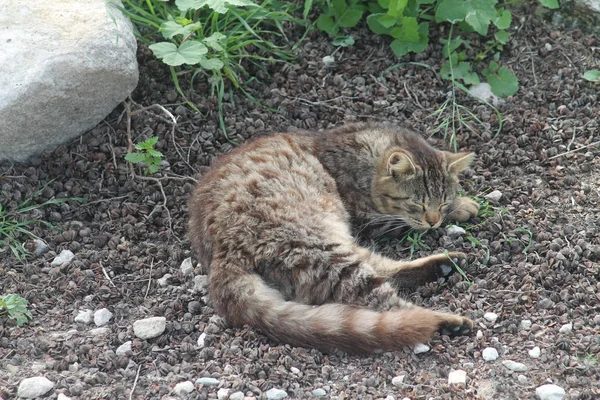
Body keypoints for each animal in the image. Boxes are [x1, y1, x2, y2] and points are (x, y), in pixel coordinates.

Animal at [190, 122, 480, 354]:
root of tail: (223, 253)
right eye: (417, 203)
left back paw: (446, 264)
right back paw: (446, 320)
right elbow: (404, 224)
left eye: (442, 201)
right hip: (321, 248)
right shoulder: (367, 218)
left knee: (384, 269)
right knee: (386, 302)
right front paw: (463, 206)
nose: (434, 219)